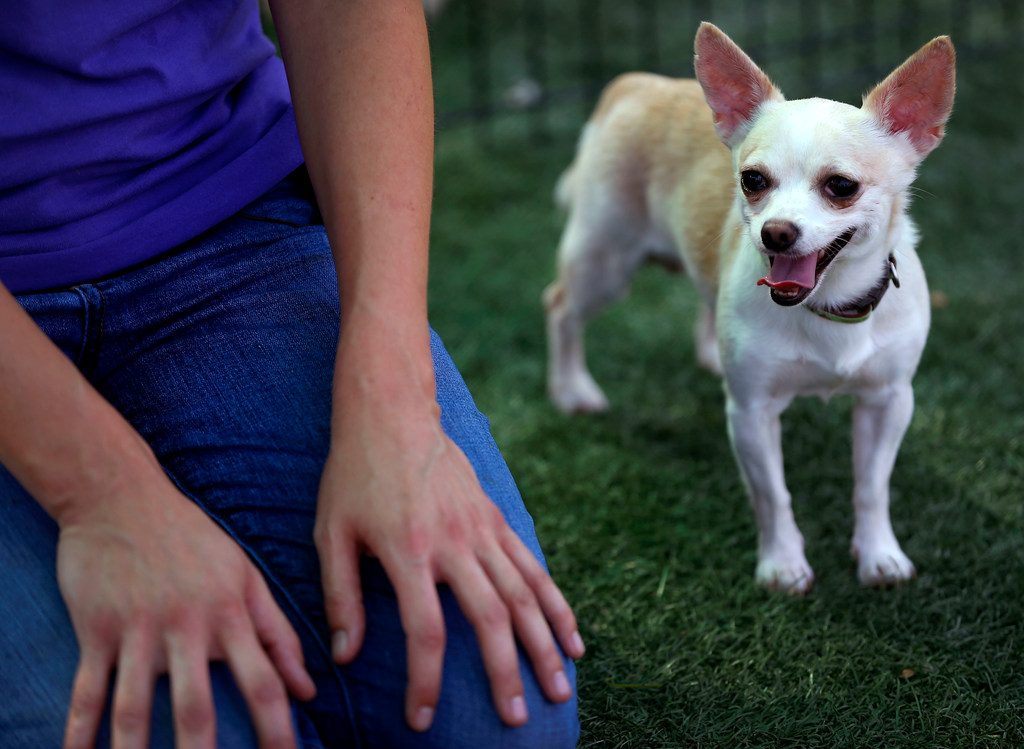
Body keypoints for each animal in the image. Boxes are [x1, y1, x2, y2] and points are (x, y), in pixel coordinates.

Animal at [548, 23, 954, 594]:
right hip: (604, 262)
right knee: (561, 308)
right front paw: (782, 564)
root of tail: (637, 83)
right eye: (753, 180)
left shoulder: (889, 402)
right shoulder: (751, 413)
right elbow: (772, 495)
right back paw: (571, 390)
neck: (827, 305)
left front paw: (879, 556)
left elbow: (872, 487)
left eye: (841, 187)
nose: (774, 232)